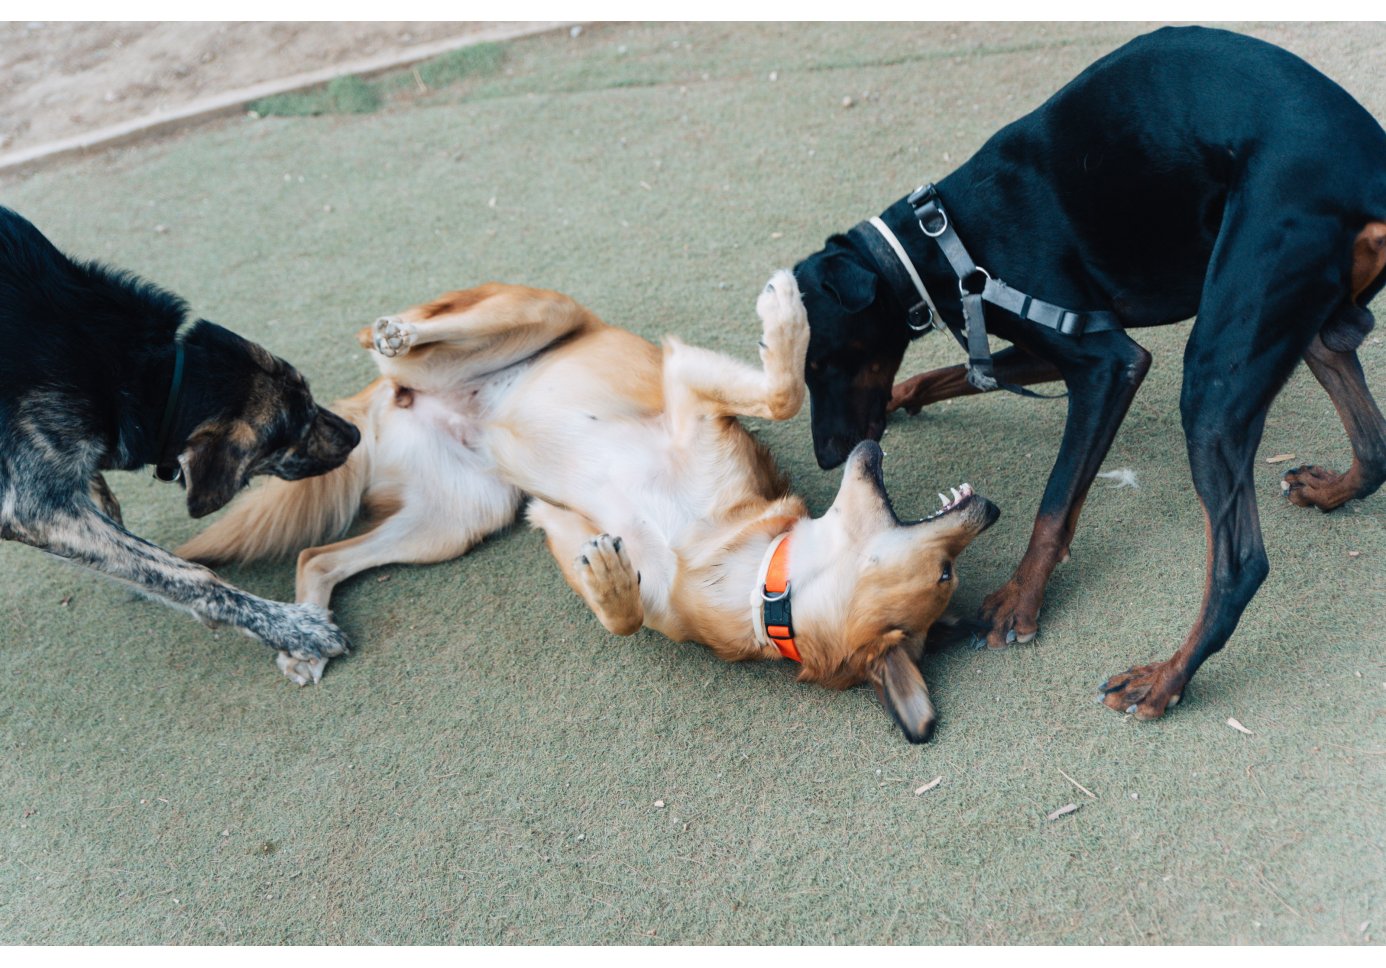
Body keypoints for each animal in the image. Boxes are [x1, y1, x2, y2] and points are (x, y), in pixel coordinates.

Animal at [0, 205, 363, 679]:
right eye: (296, 427)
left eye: (309, 395)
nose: (355, 436)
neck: (143, 372)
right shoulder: (36, 507)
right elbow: (189, 574)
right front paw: (293, 627)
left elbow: (119, 528)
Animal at [181, 271, 997, 737]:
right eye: (948, 572)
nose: (989, 509)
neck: (746, 571)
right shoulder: (687, 393)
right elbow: (782, 391)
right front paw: (785, 321)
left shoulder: (555, 518)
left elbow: (621, 611)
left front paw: (612, 585)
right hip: (539, 316)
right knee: (383, 336)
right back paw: (398, 330)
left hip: (459, 519)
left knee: (318, 555)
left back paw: (305, 635)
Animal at [792, 24, 1386, 715]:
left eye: (825, 360)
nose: (830, 456)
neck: (941, 237)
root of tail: (1369, 175)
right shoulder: (1052, 342)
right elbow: (958, 373)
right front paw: (903, 397)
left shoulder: (1109, 364)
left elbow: (1054, 505)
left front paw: (1020, 602)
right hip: (1309, 327)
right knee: (1373, 444)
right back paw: (1330, 490)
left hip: (1217, 373)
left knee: (1241, 564)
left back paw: (1166, 678)